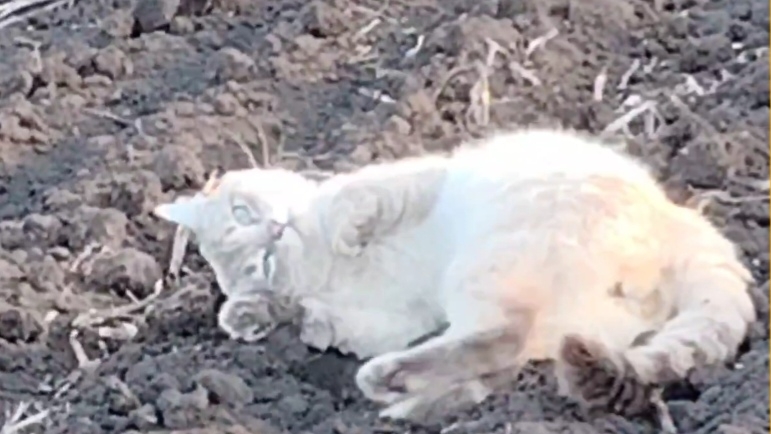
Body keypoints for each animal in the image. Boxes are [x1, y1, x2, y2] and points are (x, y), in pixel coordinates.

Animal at [152, 128, 757, 421]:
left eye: (245, 211)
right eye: (262, 263)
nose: (277, 229)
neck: (326, 270)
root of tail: (673, 215)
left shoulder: (403, 183)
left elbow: (359, 203)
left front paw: (346, 235)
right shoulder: (386, 320)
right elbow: (321, 320)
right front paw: (264, 316)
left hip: (493, 260)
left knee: (500, 341)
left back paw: (391, 388)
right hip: (545, 314)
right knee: (501, 356)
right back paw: (403, 399)